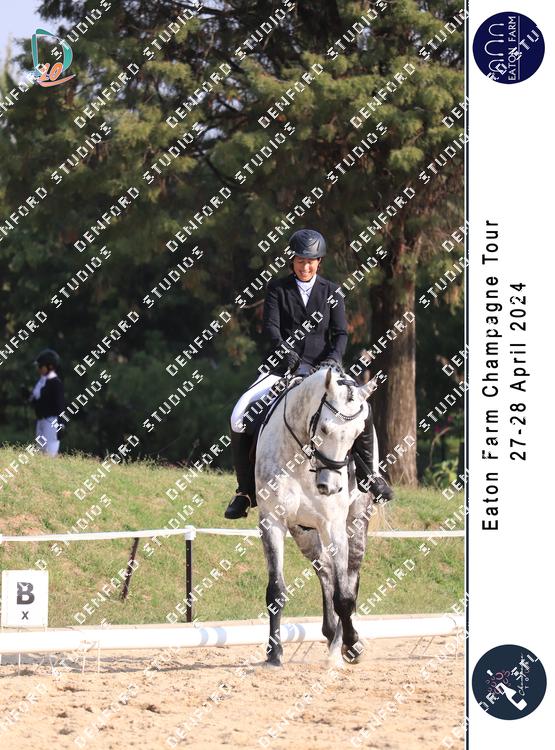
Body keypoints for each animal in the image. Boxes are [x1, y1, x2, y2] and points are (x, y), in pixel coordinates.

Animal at [255, 364, 378, 667]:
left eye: (358, 434)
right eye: (323, 428)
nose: (330, 486)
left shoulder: (333, 525)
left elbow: (344, 596)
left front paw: (352, 644)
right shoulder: (272, 520)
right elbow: (276, 589)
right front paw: (274, 653)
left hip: (356, 522)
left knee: (350, 578)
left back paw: (344, 641)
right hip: (303, 531)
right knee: (326, 570)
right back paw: (332, 633)